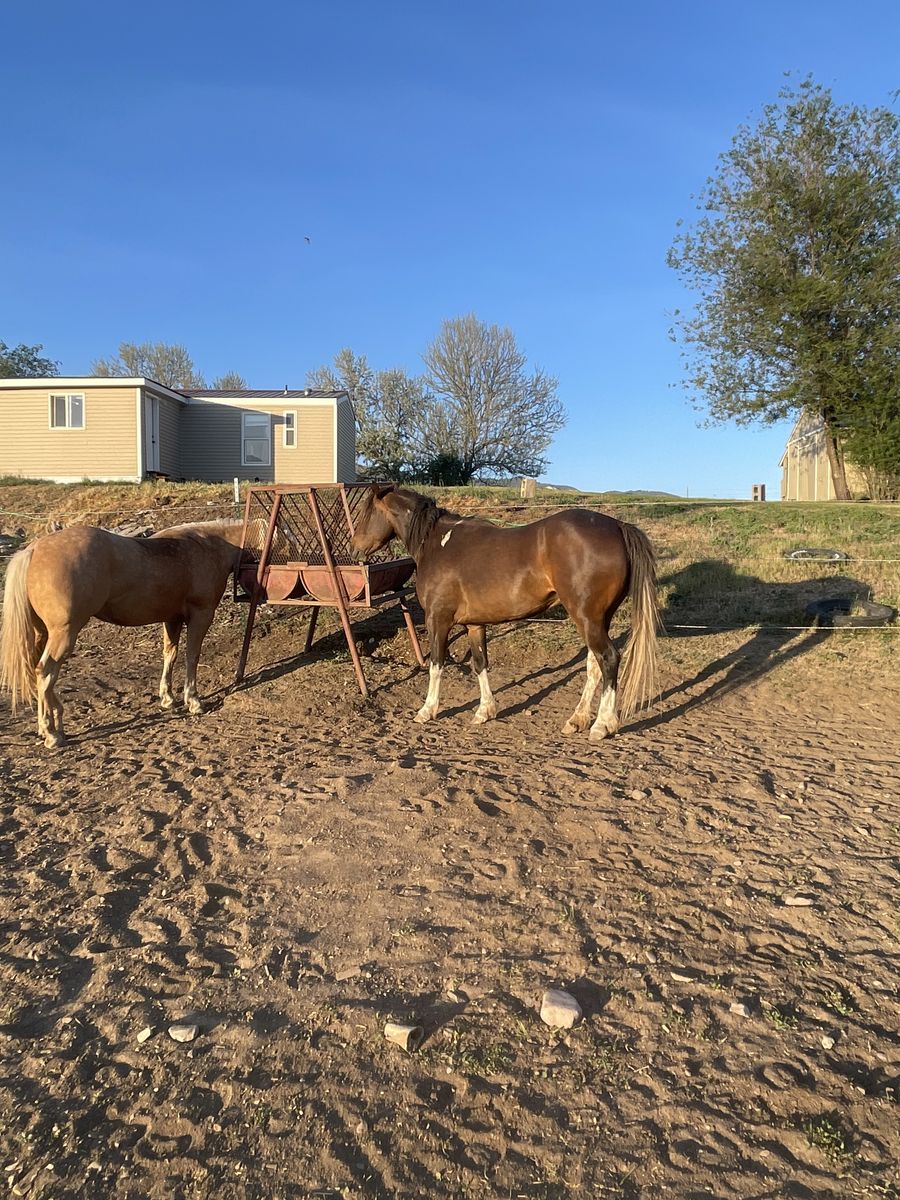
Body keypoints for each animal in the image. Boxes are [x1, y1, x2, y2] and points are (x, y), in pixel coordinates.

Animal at [0, 518, 255, 748]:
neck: (208, 546)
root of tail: (34, 549)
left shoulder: (172, 619)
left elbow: (170, 655)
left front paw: (168, 699)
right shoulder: (201, 616)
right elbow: (192, 656)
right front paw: (193, 701)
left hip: (43, 634)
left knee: (37, 673)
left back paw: (51, 727)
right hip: (64, 634)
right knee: (45, 672)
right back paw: (52, 734)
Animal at [351, 486, 660, 741]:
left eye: (365, 513)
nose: (355, 550)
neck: (437, 544)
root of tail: (617, 526)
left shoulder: (438, 620)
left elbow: (436, 664)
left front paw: (427, 710)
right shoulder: (475, 624)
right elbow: (480, 663)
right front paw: (484, 711)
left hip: (587, 618)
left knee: (608, 659)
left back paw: (602, 724)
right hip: (598, 619)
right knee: (594, 665)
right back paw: (578, 719)